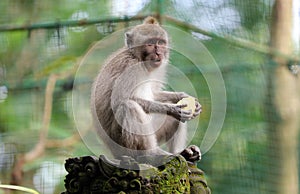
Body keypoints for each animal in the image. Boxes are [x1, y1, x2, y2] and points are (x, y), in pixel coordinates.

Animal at [91, 16, 202, 162]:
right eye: (150, 44)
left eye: (161, 43)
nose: (158, 53)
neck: (138, 58)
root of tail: (114, 154)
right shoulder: (130, 67)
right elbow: (119, 100)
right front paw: (172, 109)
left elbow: (154, 94)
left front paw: (182, 96)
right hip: (123, 146)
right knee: (128, 106)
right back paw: (152, 154)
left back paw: (183, 153)